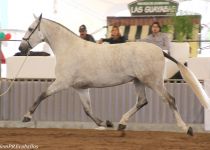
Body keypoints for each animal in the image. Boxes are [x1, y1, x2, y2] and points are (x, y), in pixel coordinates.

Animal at [18, 14, 209, 135]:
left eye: (30, 28)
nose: (21, 48)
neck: (69, 48)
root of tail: (160, 50)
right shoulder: (81, 88)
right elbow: (87, 110)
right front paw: (105, 123)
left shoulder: (62, 82)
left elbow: (42, 95)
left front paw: (26, 116)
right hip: (138, 81)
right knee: (142, 101)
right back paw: (121, 124)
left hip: (153, 82)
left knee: (169, 100)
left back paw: (186, 128)